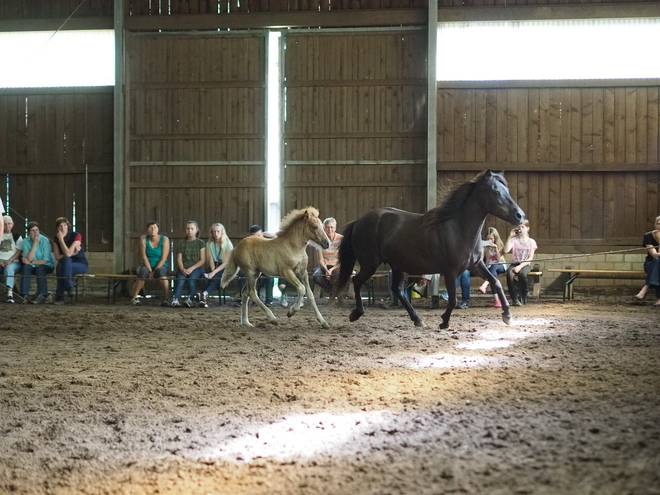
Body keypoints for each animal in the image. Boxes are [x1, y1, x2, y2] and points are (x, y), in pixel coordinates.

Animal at [336, 170, 524, 330]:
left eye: (506, 190)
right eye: (495, 191)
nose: (520, 216)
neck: (458, 229)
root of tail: (359, 221)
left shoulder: (476, 265)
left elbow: (496, 283)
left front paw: (507, 316)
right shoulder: (450, 271)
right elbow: (453, 300)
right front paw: (444, 322)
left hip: (397, 265)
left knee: (397, 290)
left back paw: (418, 320)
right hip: (370, 263)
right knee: (357, 281)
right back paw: (356, 313)